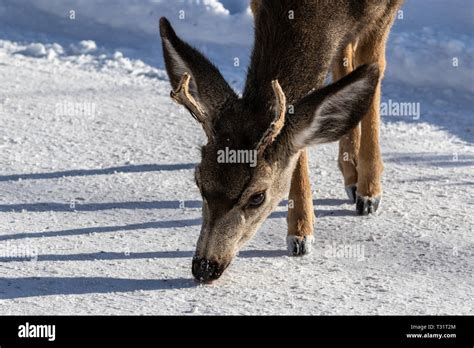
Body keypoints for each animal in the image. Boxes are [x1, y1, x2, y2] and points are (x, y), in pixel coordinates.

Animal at [160, 0, 404, 282]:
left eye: (257, 197)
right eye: (199, 182)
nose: (205, 266)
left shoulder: (386, 10)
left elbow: (375, 67)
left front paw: (370, 192)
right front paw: (300, 231)